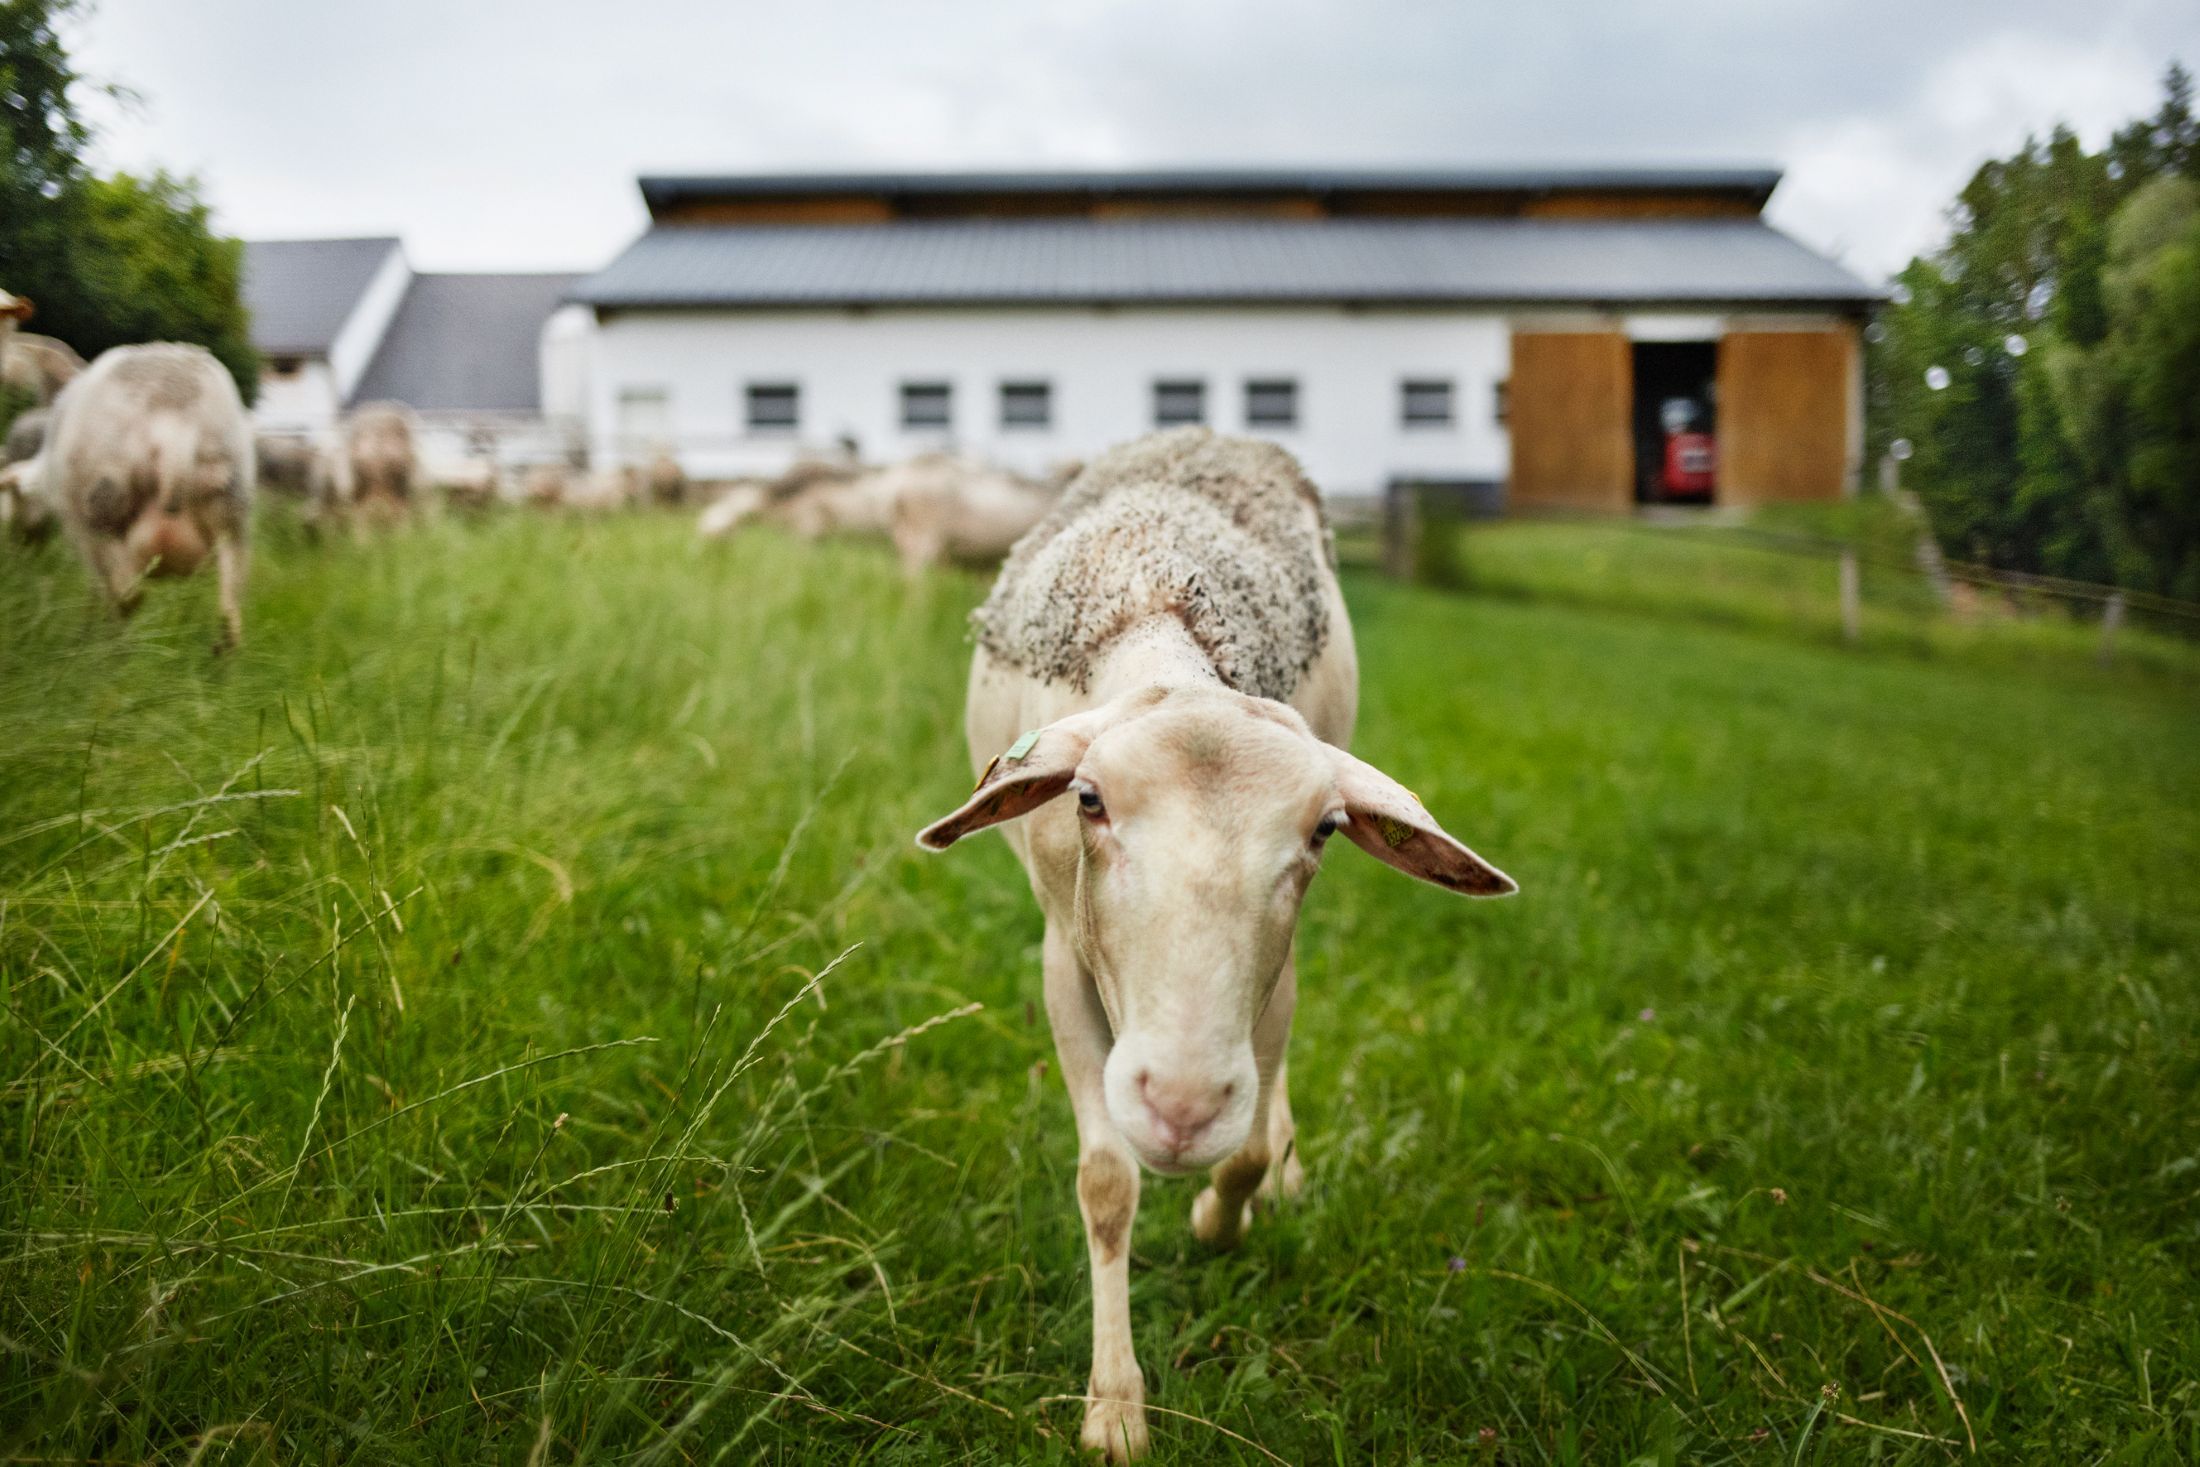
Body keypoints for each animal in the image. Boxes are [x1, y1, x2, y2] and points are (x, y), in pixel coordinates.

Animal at [43, 343, 255, 647]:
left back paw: (109, 649)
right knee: (229, 612)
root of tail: (172, 420)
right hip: (232, 505)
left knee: (126, 596)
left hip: (103, 505)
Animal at [915, 427, 1515, 1460]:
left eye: (1324, 829)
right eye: (1087, 799)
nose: (1184, 1106)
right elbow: (1107, 1182)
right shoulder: (1063, 957)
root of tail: (1209, 430)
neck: (1162, 619)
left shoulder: (1270, 979)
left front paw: (1219, 1217)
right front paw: (1115, 1405)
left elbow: (1241, 1155)